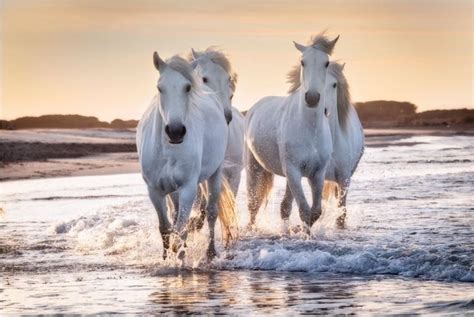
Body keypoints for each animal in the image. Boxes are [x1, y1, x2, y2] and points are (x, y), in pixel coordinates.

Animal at [137, 52, 237, 260]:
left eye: (188, 87)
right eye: (160, 88)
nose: (175, 131)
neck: (167, 149)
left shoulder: (188, 188)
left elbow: (181, 230)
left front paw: (180, 257)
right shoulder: (154, 190)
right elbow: (166, 228)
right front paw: (166, 258)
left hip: (214, 174)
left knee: (211, 212)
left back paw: (210, 252)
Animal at [244, 34, 336, 230]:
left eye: (326, 63)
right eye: (302, 62)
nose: (312, 98)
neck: (310, 129)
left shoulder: (317, 173)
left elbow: (314, 212)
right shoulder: (293, 171)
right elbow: (304, 212)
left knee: (284, 207)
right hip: (254, 167)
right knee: (253, 205)